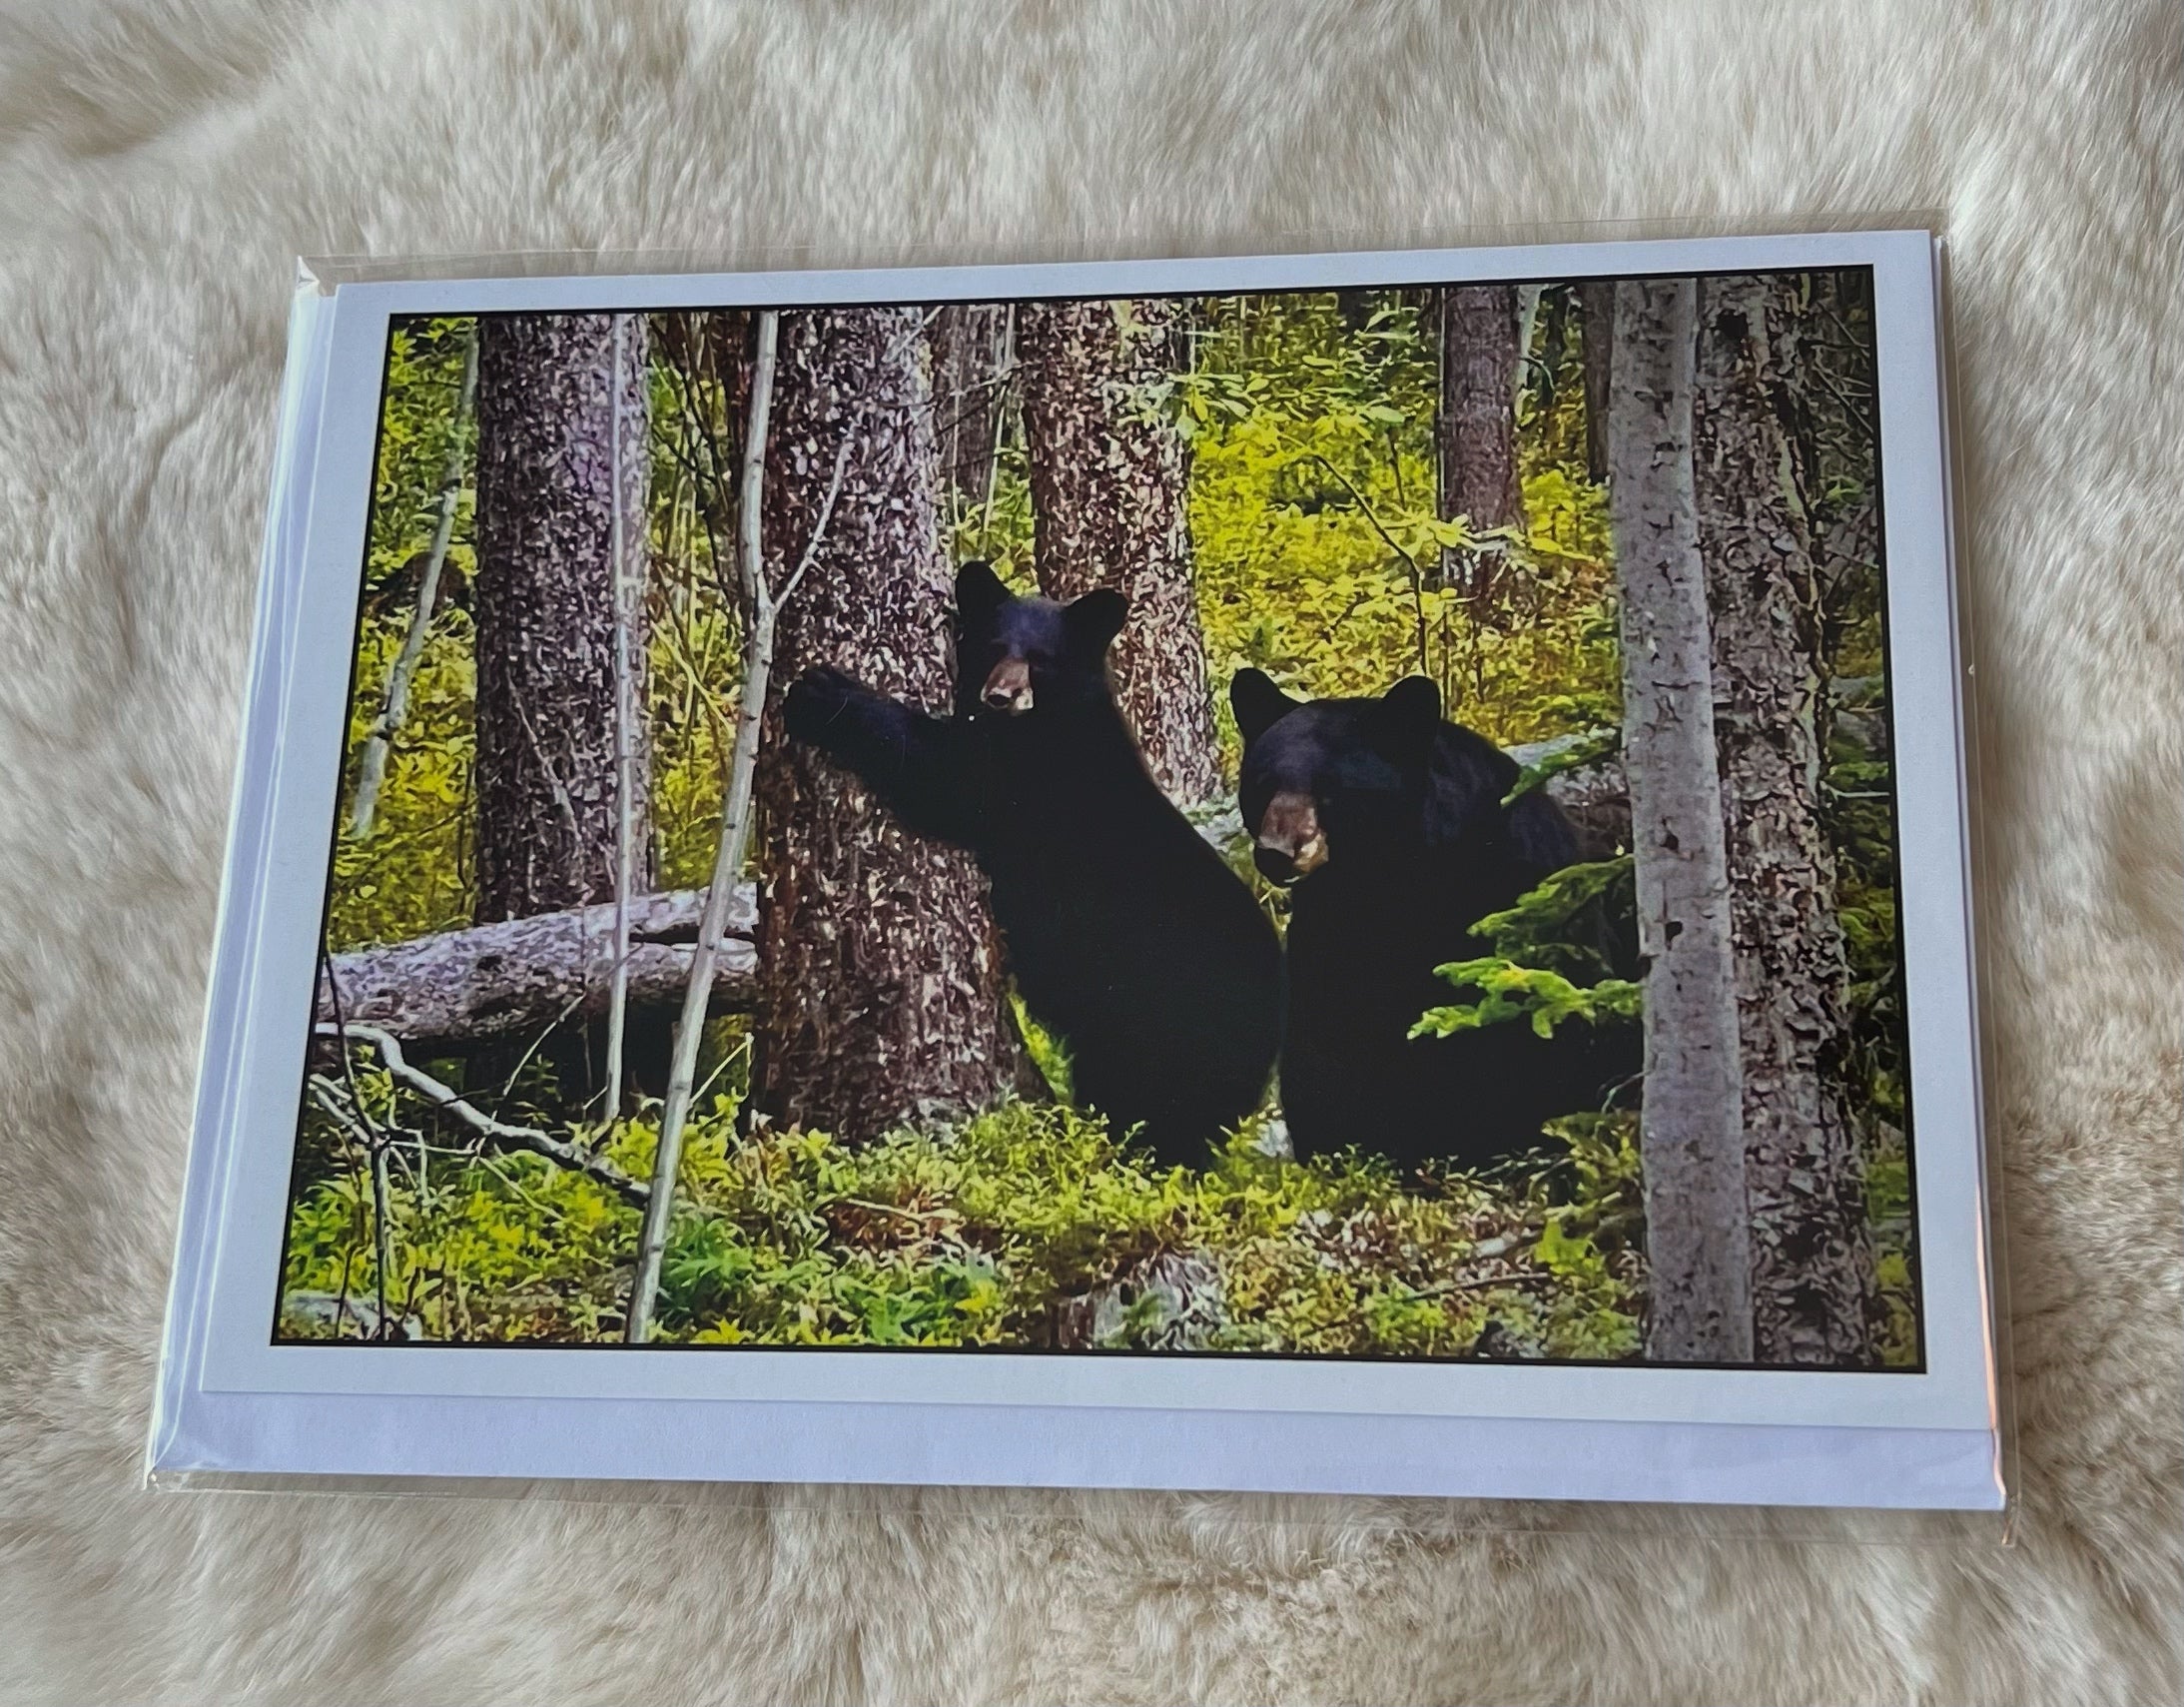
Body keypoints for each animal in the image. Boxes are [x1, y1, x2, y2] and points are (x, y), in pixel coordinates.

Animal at [782, 562, 1284, 1168]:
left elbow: (946, 778)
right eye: (996, 645)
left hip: (1171, 1024)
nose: (1000, 695)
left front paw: (825, 692)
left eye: (1041, 658)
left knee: (1163, 1110)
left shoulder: (1032, 777)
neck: (1046, 720)